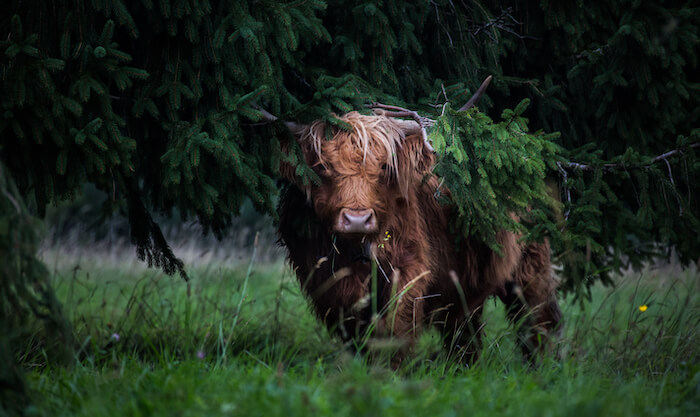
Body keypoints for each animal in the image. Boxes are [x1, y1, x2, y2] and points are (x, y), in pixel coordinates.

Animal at [276, 110, 560, 364]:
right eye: (322, 167)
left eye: (384, 167)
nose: (357, 219)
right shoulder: (327, 284)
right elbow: (357, 334)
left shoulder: (409, 270)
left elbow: (395, 328)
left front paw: (390, 371)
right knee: (465, 333)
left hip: (530, 270)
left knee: (538, 320)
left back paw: (543, 368)